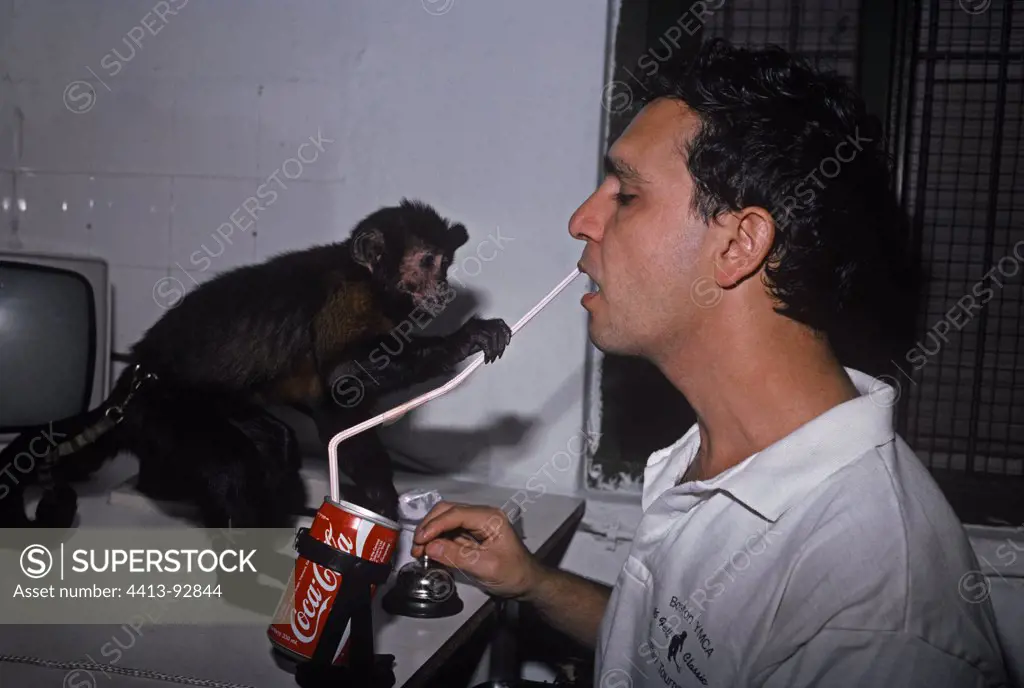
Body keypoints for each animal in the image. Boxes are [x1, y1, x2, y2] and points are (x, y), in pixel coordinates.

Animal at [0, 197, 512, 528]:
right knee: (231, 464)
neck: (370, 280)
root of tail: (131, 381)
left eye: (444, 263)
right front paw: (467, 336)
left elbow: (335, 411)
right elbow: (343, 379)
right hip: (163, 407)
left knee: (277, 442)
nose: (442, 287)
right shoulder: (350, 296)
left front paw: (378, 507)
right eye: (426, 261)